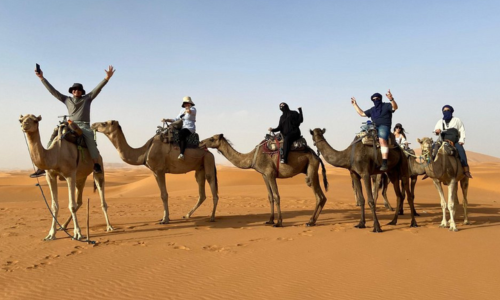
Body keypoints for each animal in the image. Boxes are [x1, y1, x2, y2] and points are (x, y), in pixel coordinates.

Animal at [199, 134, 328, 227]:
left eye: (212, 138)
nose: (200, 142)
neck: (252, 157)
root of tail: (317, 157)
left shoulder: (270, 173)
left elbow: (276, 196)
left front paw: (279, 222)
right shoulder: (264, 175)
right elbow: (270, 196)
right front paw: (270, 220)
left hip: (311, 169)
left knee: (318, 196)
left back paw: (310, 222)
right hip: (311, 171)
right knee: (323, 197)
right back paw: (312, 221)